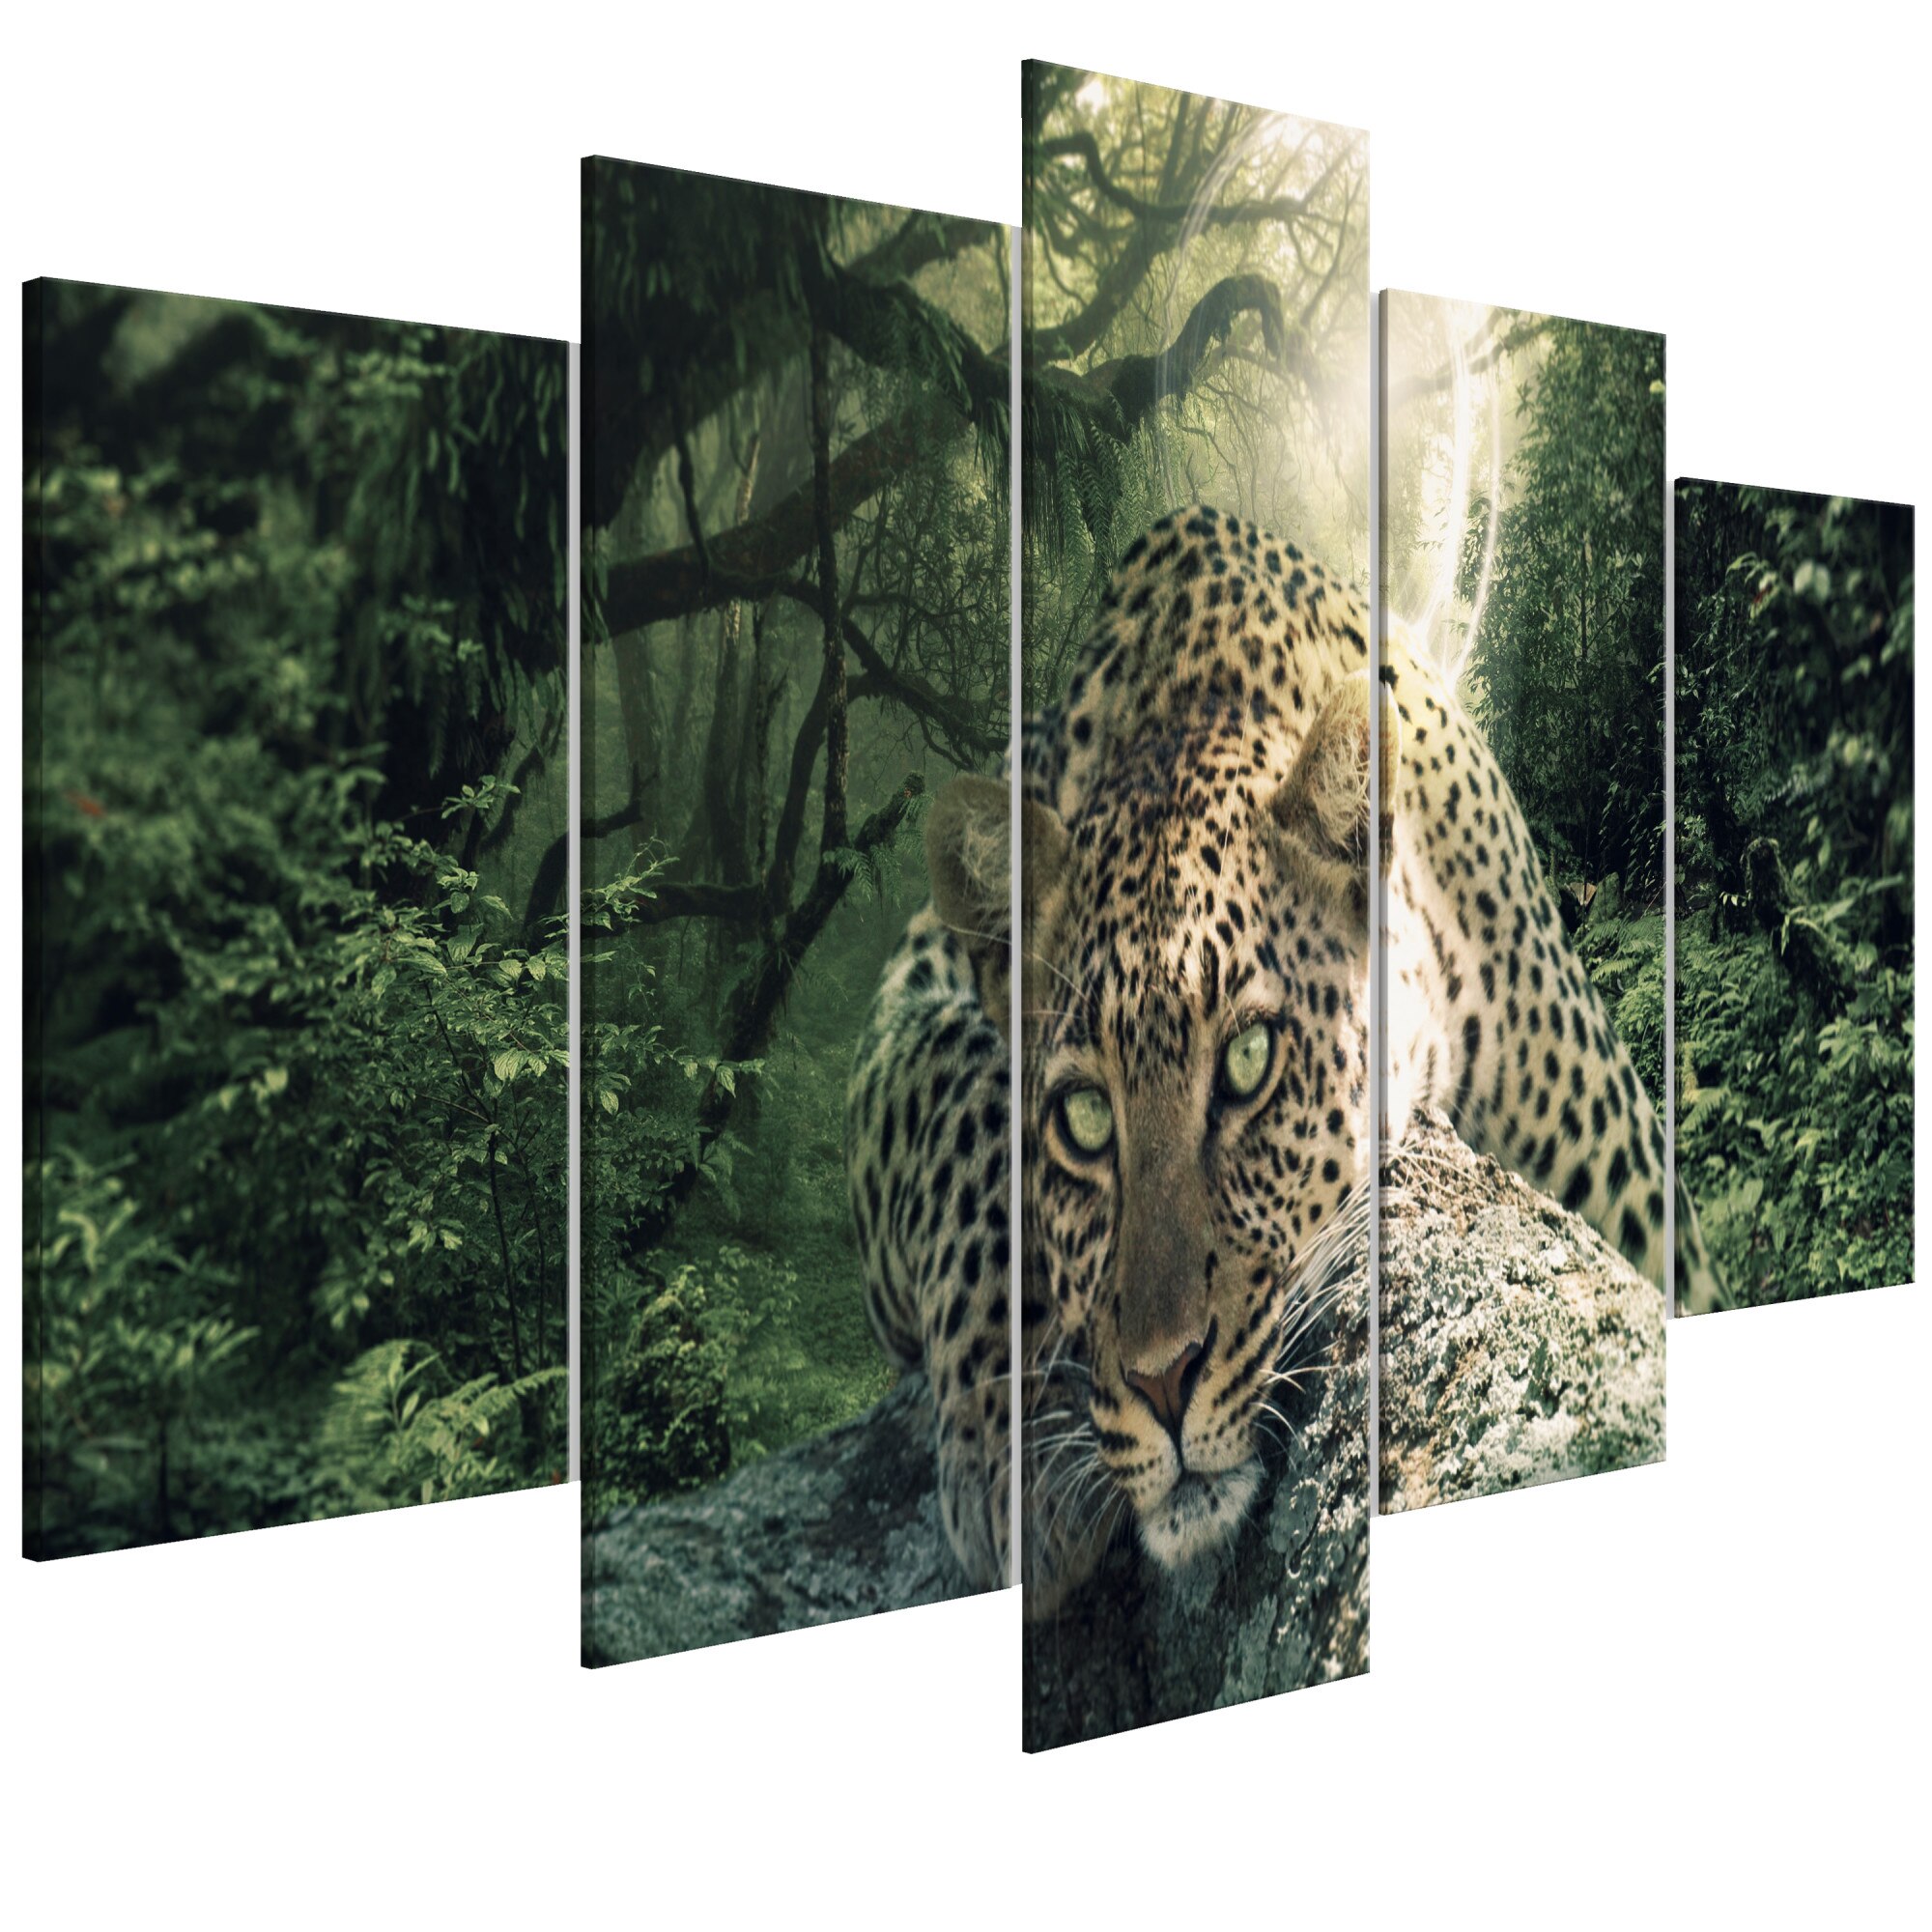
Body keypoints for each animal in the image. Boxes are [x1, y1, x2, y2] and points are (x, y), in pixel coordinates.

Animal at [847, 502, 1712, 1612]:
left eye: (1251, 1059)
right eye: (1082, 1116)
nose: (1161, 1377)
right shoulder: (906, 997)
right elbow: (960, 1102)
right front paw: (1019, 1448)